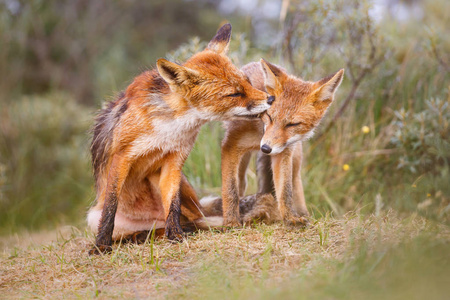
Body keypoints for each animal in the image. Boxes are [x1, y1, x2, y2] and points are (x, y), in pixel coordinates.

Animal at [86, 24, 272, 253]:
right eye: (234, 94)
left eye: (247, 82)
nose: (271, 99)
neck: (169, 129)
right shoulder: (122, 157)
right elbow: (110, 208)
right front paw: (102, 245)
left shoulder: (173, 161)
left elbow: (172, 206)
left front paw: (175, 235)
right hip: (93, 216)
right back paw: (137, 236)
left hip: (179, 195)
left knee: (195, 221)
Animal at [219, 59, 344, 225]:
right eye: (270, 117)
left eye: (292, 124)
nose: (265, 148)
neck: (259, 131)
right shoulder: (231, 145)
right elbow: (230, 190)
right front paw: (231, 221)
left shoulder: (282, 152)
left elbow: (285, 191)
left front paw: (291, 218)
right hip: (244, 161)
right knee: (240, 182)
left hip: (295, 158)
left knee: (295, 184)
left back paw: (303, 213)